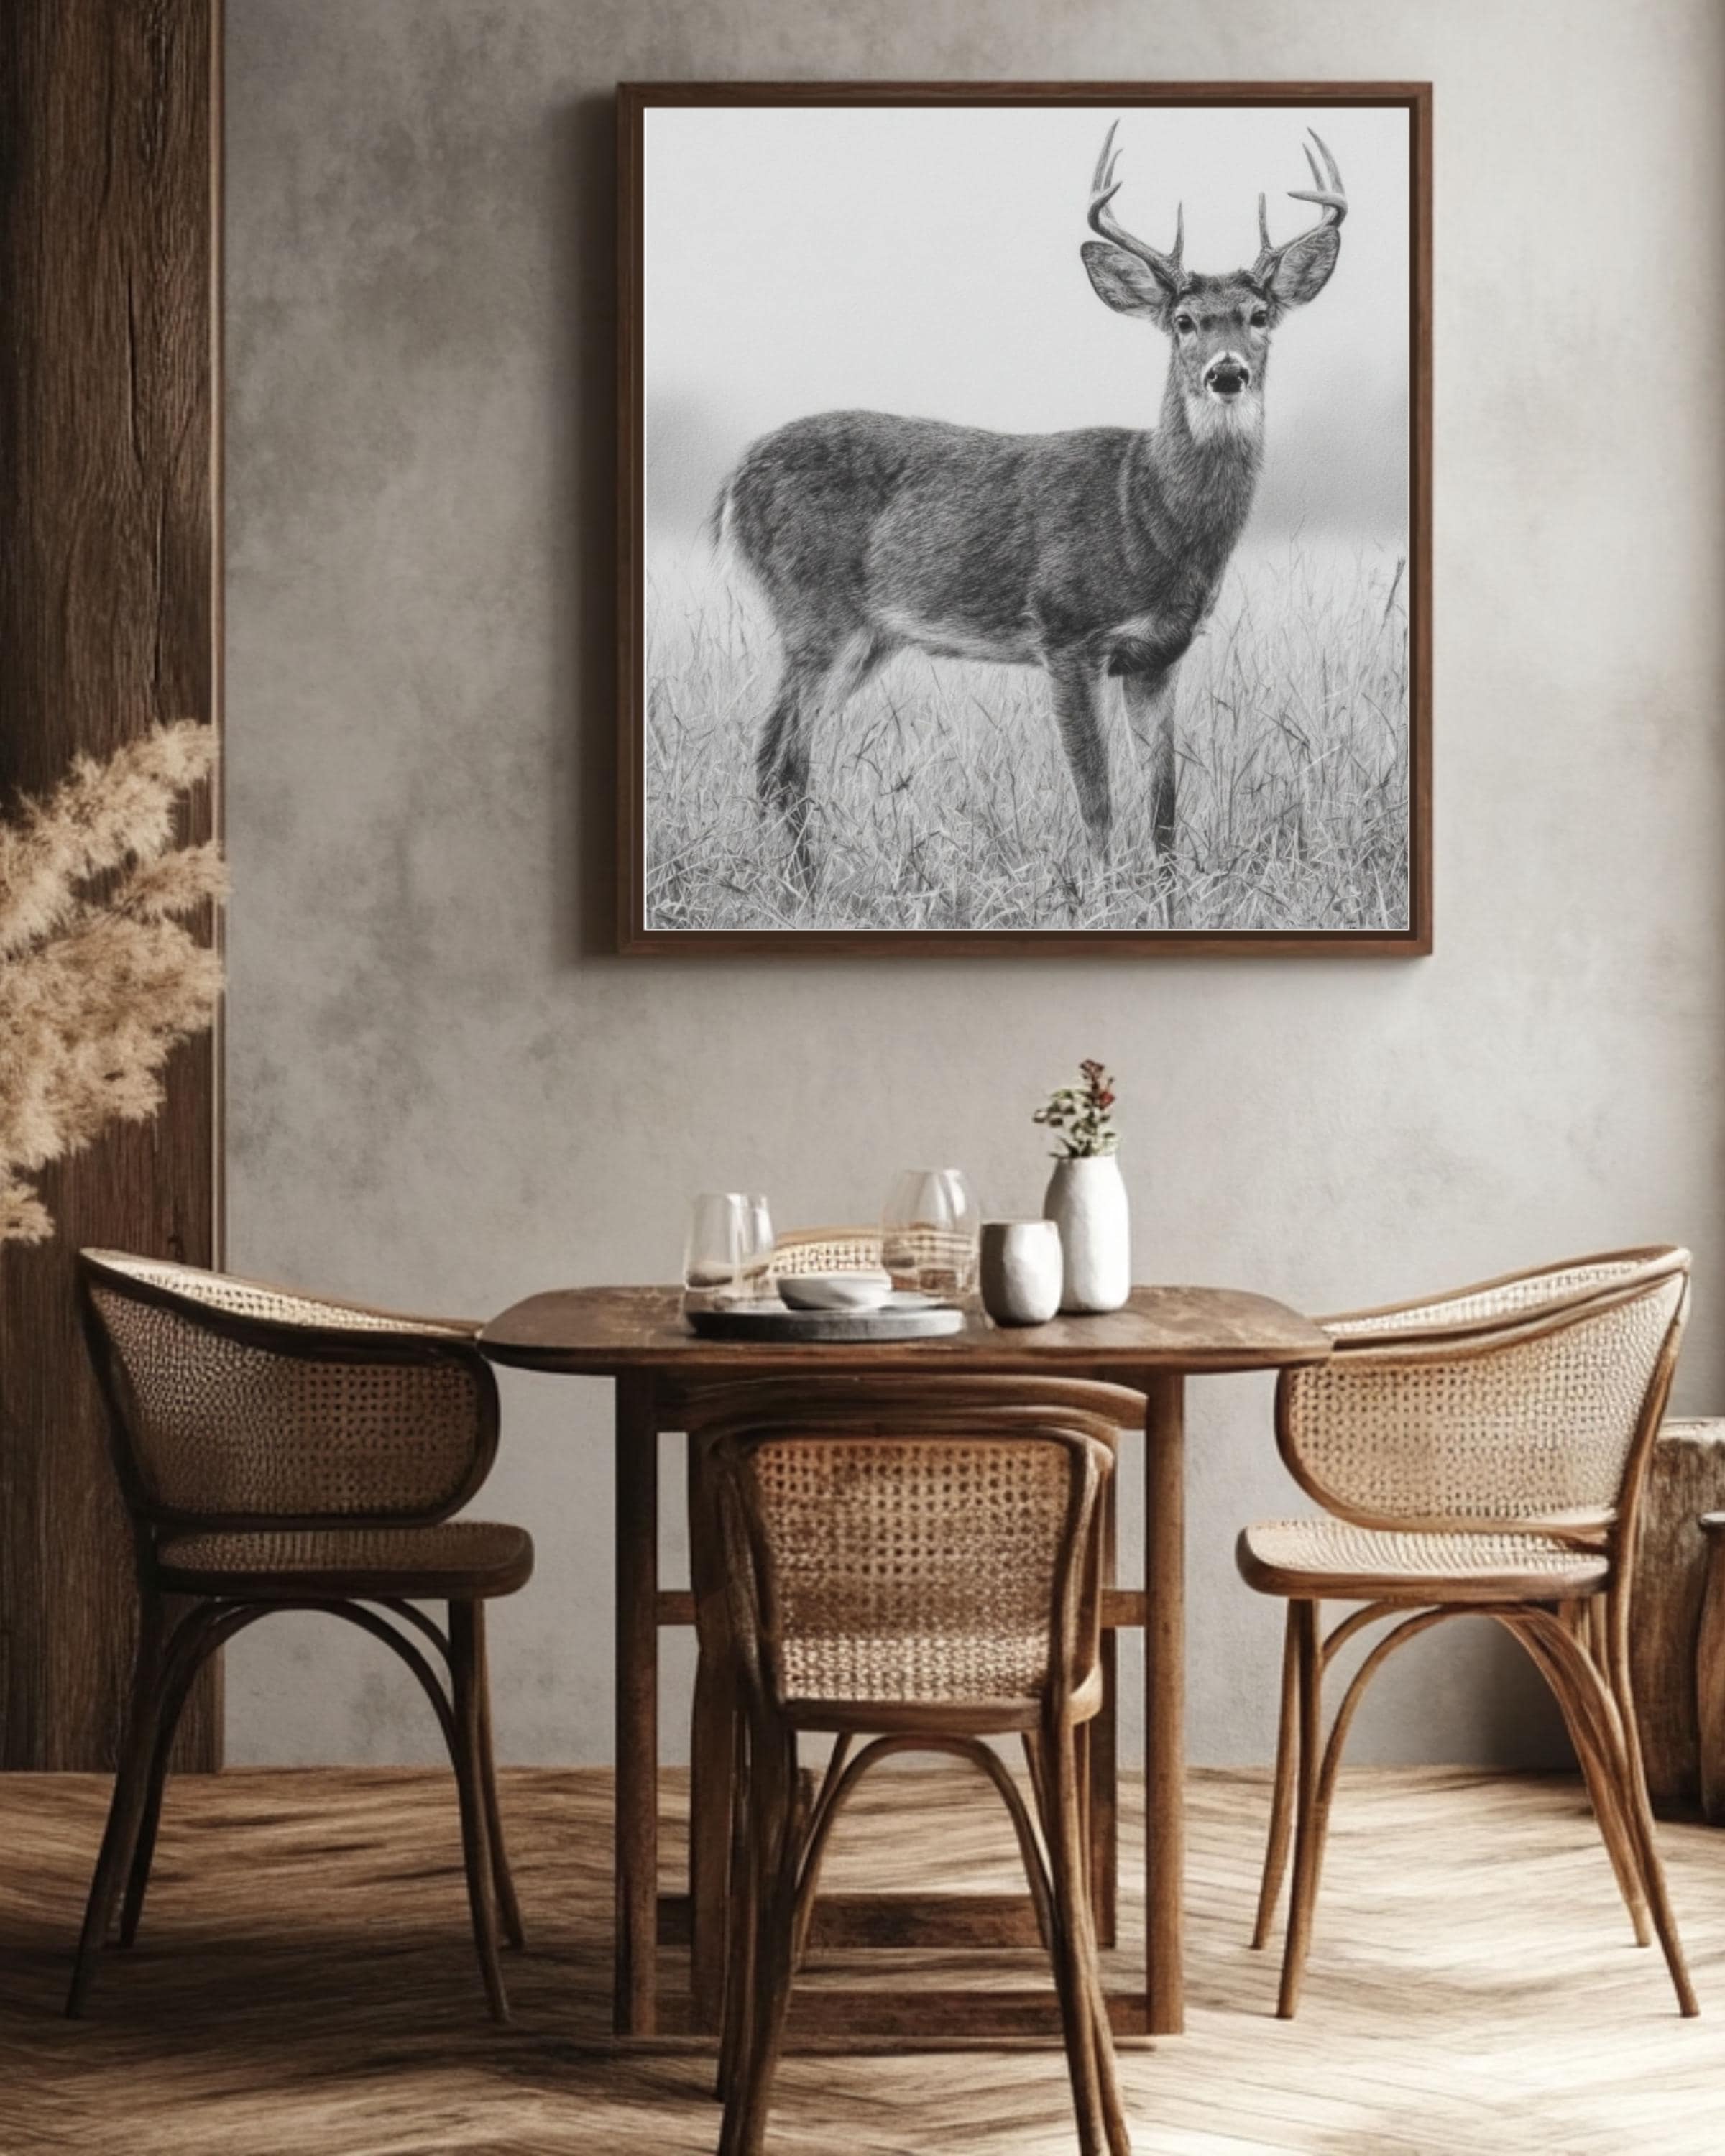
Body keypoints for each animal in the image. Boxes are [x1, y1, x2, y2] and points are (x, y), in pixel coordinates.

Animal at [711, 124, 1348, 867]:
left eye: (1259, 315)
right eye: (1185, 321)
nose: (1227, 373)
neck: (1147, 514)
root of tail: (735, 480)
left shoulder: (1160, 654)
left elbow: (1164, 807)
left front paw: (1165, 889)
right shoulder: (1066, 632)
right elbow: (1096, 801)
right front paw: (1102, 887)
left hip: (867, 636)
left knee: (778, 756)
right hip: (814, 613)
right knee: (781, 757)